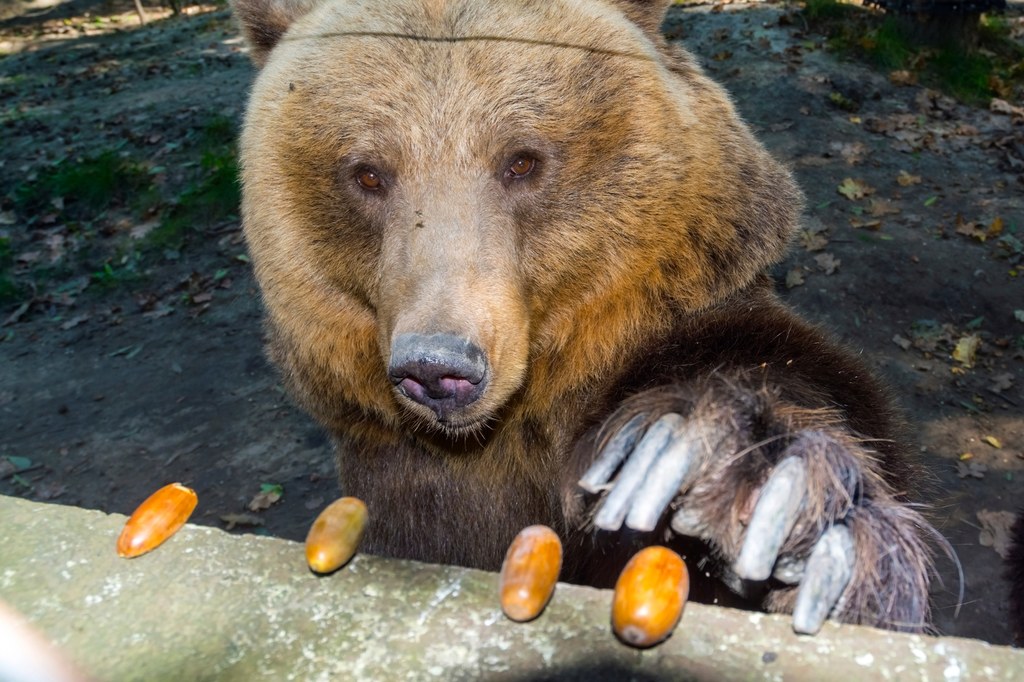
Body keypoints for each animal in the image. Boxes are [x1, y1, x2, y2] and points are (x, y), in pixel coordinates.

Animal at [235, 0, 937, 630]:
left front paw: (743, 494)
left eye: (522, 160)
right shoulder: (403, 481)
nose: (439, 368)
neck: (510, 427)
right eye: (367, 174)